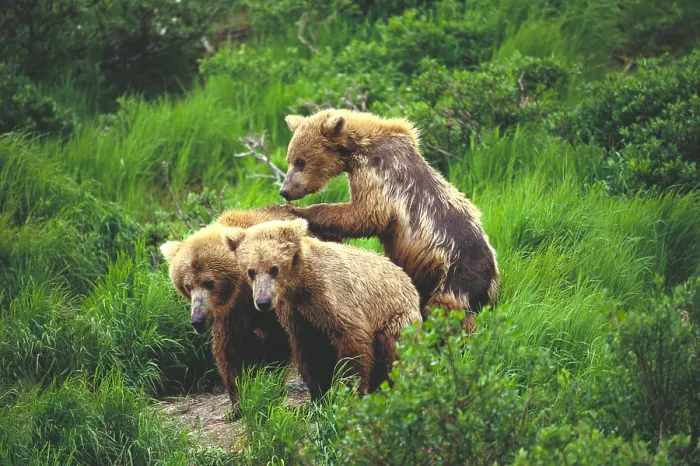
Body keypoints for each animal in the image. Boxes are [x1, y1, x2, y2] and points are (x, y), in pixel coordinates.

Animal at [160, 205, 317, 411]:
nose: (197, 320)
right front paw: (239, 399)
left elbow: (278, 340)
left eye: (209, 283)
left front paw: (268, 380)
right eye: (187, 286)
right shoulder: (230, 314)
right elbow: (230, 350)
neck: (243, 292)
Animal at [221, 218, 422, 399]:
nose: (263, 302)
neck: (299, 285)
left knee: (394, 349)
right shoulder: (296, 313)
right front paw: (319, 397)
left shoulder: (331, 297)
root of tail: (410, 284)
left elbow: (352, 339)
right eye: (251, 271)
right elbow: (312, 353)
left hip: (397, 317)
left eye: (274, 268)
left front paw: (347, 392)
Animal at [278, 109, 499, 331]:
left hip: (456, 277)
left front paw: (302, 210)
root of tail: (491, 278)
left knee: (445, 311)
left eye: (300, 161)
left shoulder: (378, 173)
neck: (357, 146)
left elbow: (365, 214)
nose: (284, 191)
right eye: (290, 159)